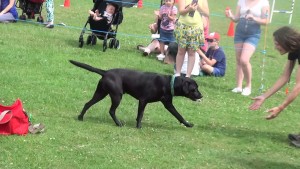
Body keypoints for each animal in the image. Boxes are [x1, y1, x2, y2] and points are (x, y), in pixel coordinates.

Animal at [69, 60, 203, 127]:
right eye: (194, 89)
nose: (201, 96)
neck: (168, 83)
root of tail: (105, 72)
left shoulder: (168, 104)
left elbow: (178, 115)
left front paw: (187, 124)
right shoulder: (143, 100)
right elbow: (140, 115)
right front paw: (138, 127)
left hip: (101, 93)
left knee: (87, 103)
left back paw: (80, 117)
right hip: (117, 96)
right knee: (111, 111)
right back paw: (118, 123)